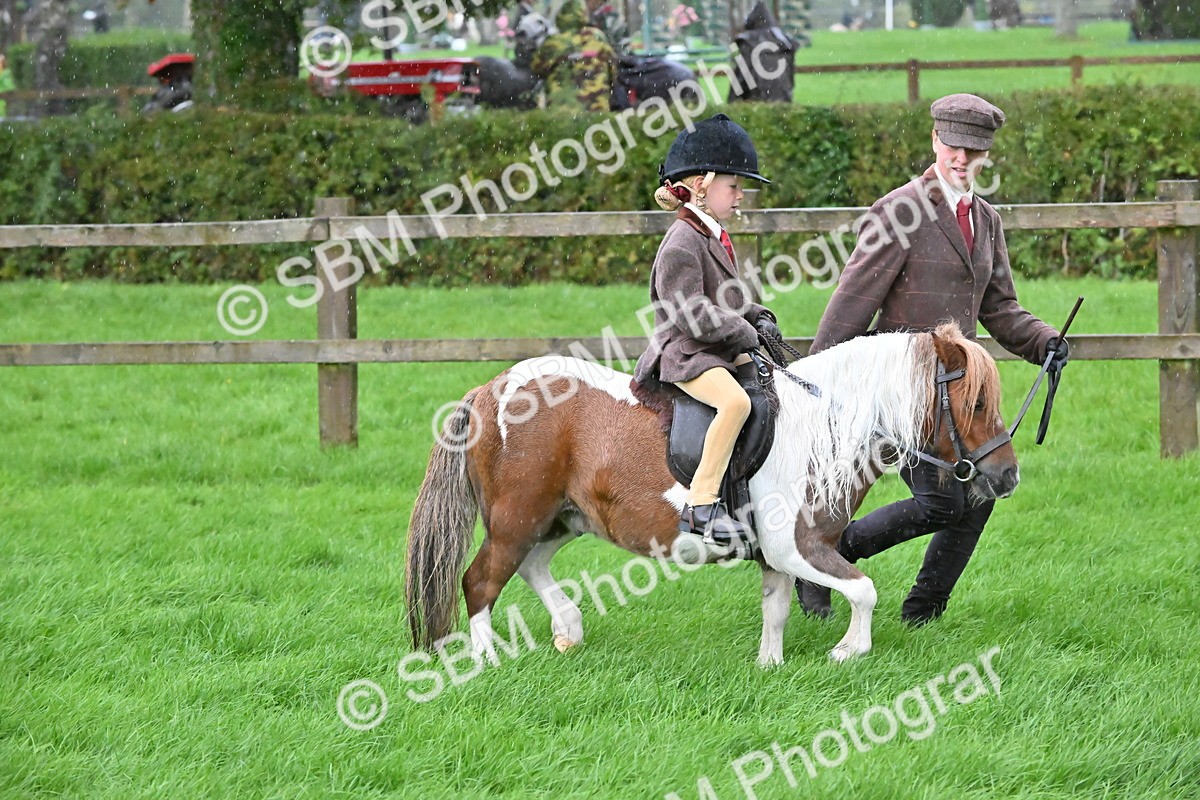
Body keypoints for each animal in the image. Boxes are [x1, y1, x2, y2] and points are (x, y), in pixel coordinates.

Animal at [404, 322, 1019, 666]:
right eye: (975, 403)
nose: (1008, 476)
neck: (821, 424)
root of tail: (489, 390)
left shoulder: (778, 556)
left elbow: (776, 609)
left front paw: (769, 666)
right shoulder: (798, 546)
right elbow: (863, 589)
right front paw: (848, 650)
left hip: (561, 518)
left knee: (531, 566)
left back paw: (568, 629)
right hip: (517, 518)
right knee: (480, 581)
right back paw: (487, 660)